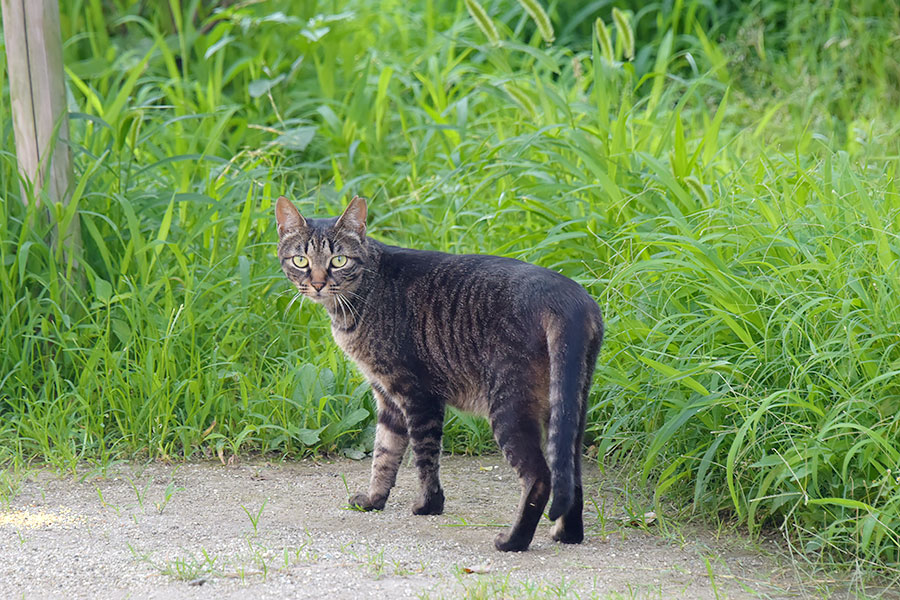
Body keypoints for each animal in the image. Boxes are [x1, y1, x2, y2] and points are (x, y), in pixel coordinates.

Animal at [274, 195, 604, 552]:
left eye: (339, 260)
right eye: (301, 260)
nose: (318, 283)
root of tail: (567, 298)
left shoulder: (416, 393)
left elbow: (424, 456)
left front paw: (428, 505)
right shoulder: (386, 396)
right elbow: (384, 453)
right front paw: (374, 500)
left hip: (510, 407)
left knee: (540, 477)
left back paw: (513, 540)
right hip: (571, 405)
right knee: (571, 473)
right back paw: (568, 534)